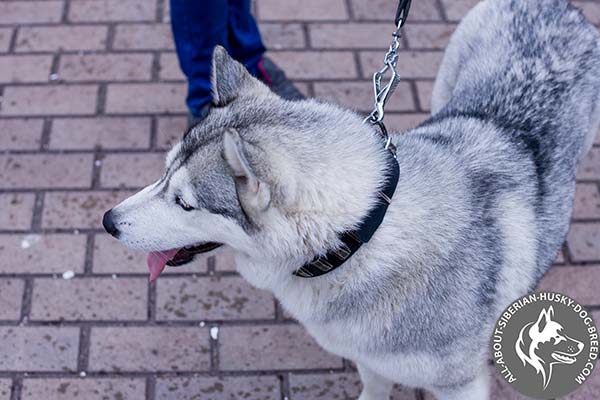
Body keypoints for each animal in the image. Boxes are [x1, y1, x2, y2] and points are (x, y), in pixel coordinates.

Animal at [103, 1, 600, 398]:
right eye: (163, 174)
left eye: (185, 203)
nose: (109, 221)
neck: (361, 236)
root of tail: (553, 5)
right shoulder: (369, 358)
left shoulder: (460, 384)